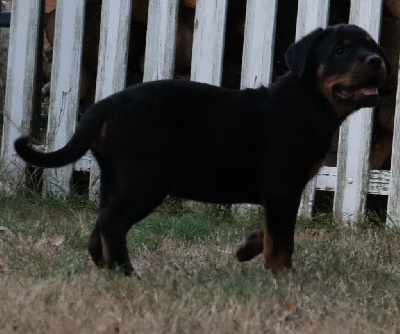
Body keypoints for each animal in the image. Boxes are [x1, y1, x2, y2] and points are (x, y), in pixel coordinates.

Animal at [14, 24, 388, 276]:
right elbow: (283, 238)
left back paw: (106, 266)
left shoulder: (278, 192)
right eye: (339, 51)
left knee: (101, 223)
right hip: (145, 181)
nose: (375, 61)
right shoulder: (283, 186)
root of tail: (103, 105)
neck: (309, 102)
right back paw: (127, 273)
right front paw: (284, 274)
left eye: (372, 47)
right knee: (111, 220)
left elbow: (273, 228)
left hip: (115, 178)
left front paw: (247, 248)